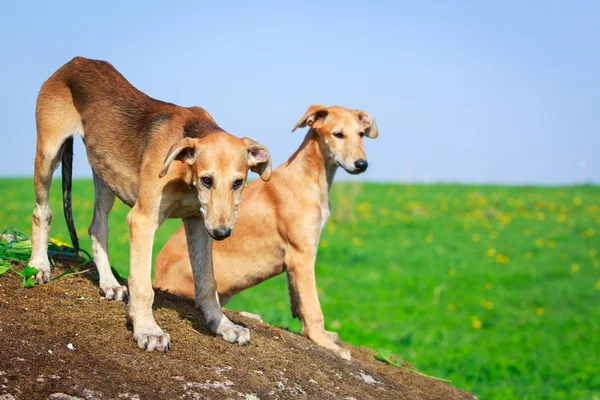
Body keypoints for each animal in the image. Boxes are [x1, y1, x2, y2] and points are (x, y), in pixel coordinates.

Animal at [28, 56, 272, 350]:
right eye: (206, 180)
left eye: (238, 183)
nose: (223, 233)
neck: (185, 172)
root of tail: (75, 61)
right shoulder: (143, 221)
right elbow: (143, 286)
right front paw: (147, 330)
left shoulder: (199, 224)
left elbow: (207, 283)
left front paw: (223, 325)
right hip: (48, 152)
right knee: (42, 211)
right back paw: (39, 265)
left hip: (105, 170)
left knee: (97, 228)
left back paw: (109, 283)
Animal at [152, 104, 378, 358]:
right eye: (338, 134)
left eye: (361, 134)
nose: (361, 164)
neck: (308, 178)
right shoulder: (302, 255)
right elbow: (312, 307)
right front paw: (325, 343)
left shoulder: (296, 259)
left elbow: (298, 302)